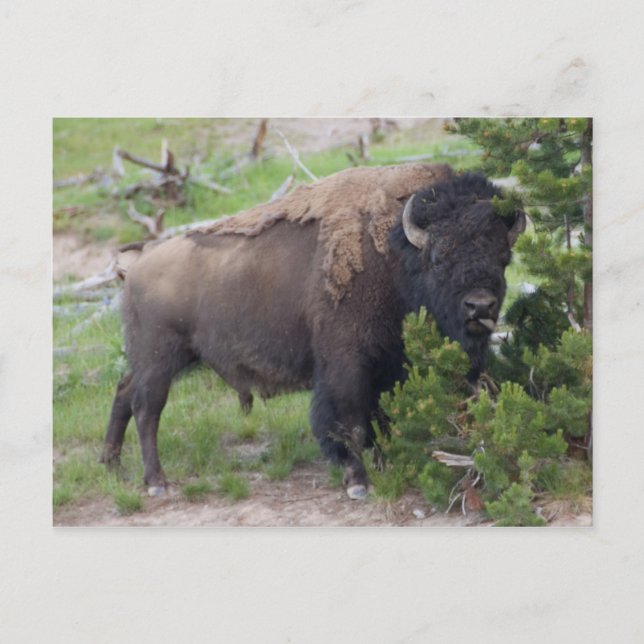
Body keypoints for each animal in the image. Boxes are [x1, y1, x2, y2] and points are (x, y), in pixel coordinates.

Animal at [100, 163, 525, 499]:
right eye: (439, 257)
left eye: (503, 257)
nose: (480, 307)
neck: (395, 253)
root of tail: (135, 268)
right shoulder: (347, 365)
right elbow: (349, 422)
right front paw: (358, 482)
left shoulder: (387, 366)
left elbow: (379, 420)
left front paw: (383, 464)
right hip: (160, 361)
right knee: (147, 408)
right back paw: (156, 482)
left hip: (155, 361)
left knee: (123, 392)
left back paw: (112, 467)